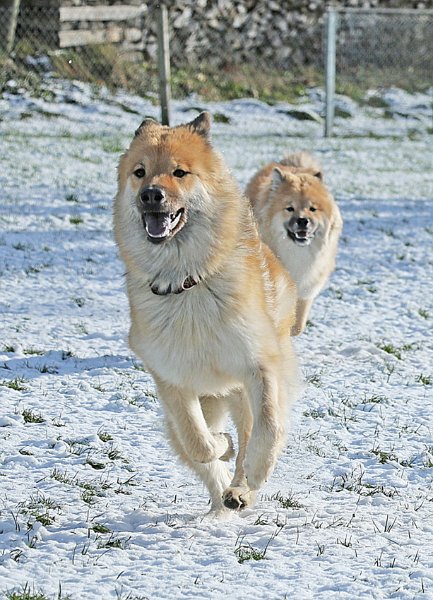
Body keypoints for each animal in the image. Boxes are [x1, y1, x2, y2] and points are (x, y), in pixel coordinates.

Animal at [113, 112, 298, 516]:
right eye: (139, 172)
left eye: (179, 172)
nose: (150, 194)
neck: (187, 281)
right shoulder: (171, 380)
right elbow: (198, 442)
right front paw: (220, 446)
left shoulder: (258, 365)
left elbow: (267, 427)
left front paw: (255, 472)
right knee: (198, 452)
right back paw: (222, 498)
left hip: (242, 390)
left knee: (251, 431)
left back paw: (241, 490)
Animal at [246, 152, 340, 336]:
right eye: (289, 208)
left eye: (312, 209)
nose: (302, 221)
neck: (296, 253)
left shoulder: (306, 288)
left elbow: (297, 326)